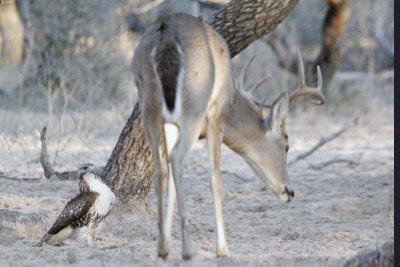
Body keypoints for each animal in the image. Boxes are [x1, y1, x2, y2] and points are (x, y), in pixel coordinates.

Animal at [131, 12, 324, 262]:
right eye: (287, 145)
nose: (289, 192)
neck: (232, 100)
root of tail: (166, 38)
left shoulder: (171, 122)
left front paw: (167, 241)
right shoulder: (216, 117)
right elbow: (216, 179)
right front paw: (223, 249)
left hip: (149, 107)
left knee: (161, 168)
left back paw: (163, 249)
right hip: (194, 107)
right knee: (177, 158)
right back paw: (188, 250)